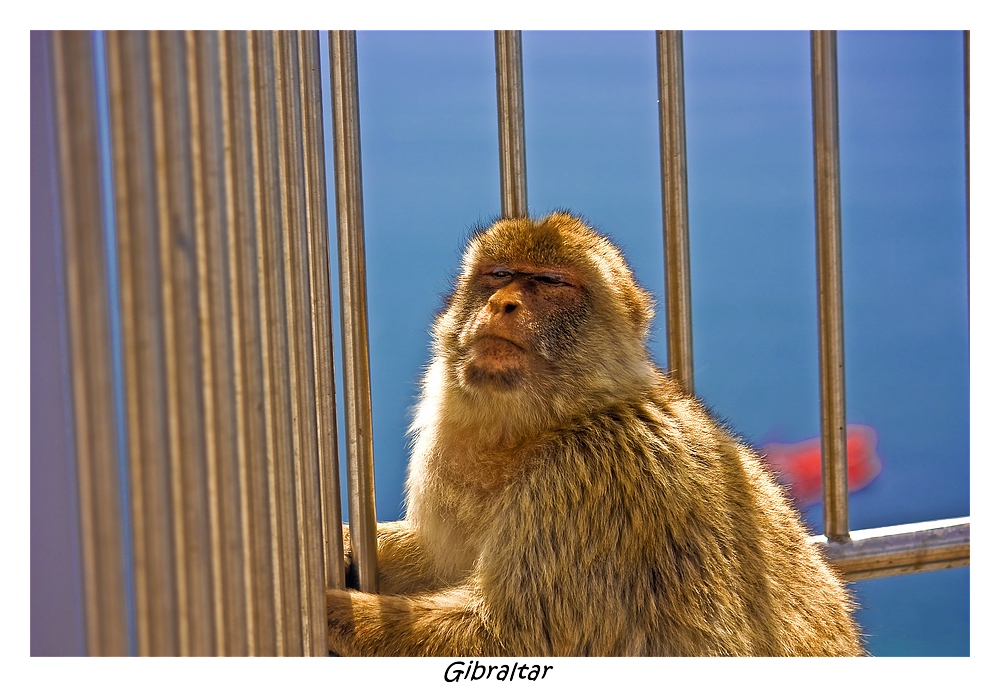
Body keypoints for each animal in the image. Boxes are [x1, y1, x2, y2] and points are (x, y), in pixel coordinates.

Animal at [324, 212, 864, 660]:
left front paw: (340, 613)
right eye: (498, 274)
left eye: (552, 282)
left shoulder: (586, 481)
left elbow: (516, 635)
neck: (540, 428)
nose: (502, 303)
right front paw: (350, 543)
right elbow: (438, 560)